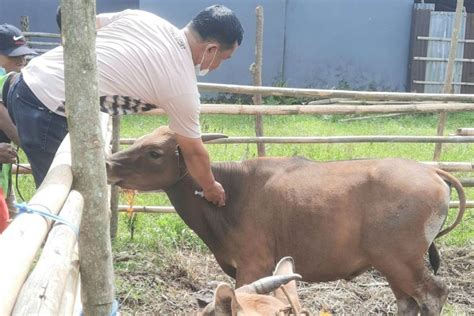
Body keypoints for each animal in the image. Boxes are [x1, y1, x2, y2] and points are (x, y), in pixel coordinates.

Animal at [105, 126, 464, 316]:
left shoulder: (253, 265)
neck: (230, 193)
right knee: (408, 302)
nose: (108, 163)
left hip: (401, 260)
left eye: (154, 152)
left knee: (433, 294)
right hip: (392, 264)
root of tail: (432, 171)